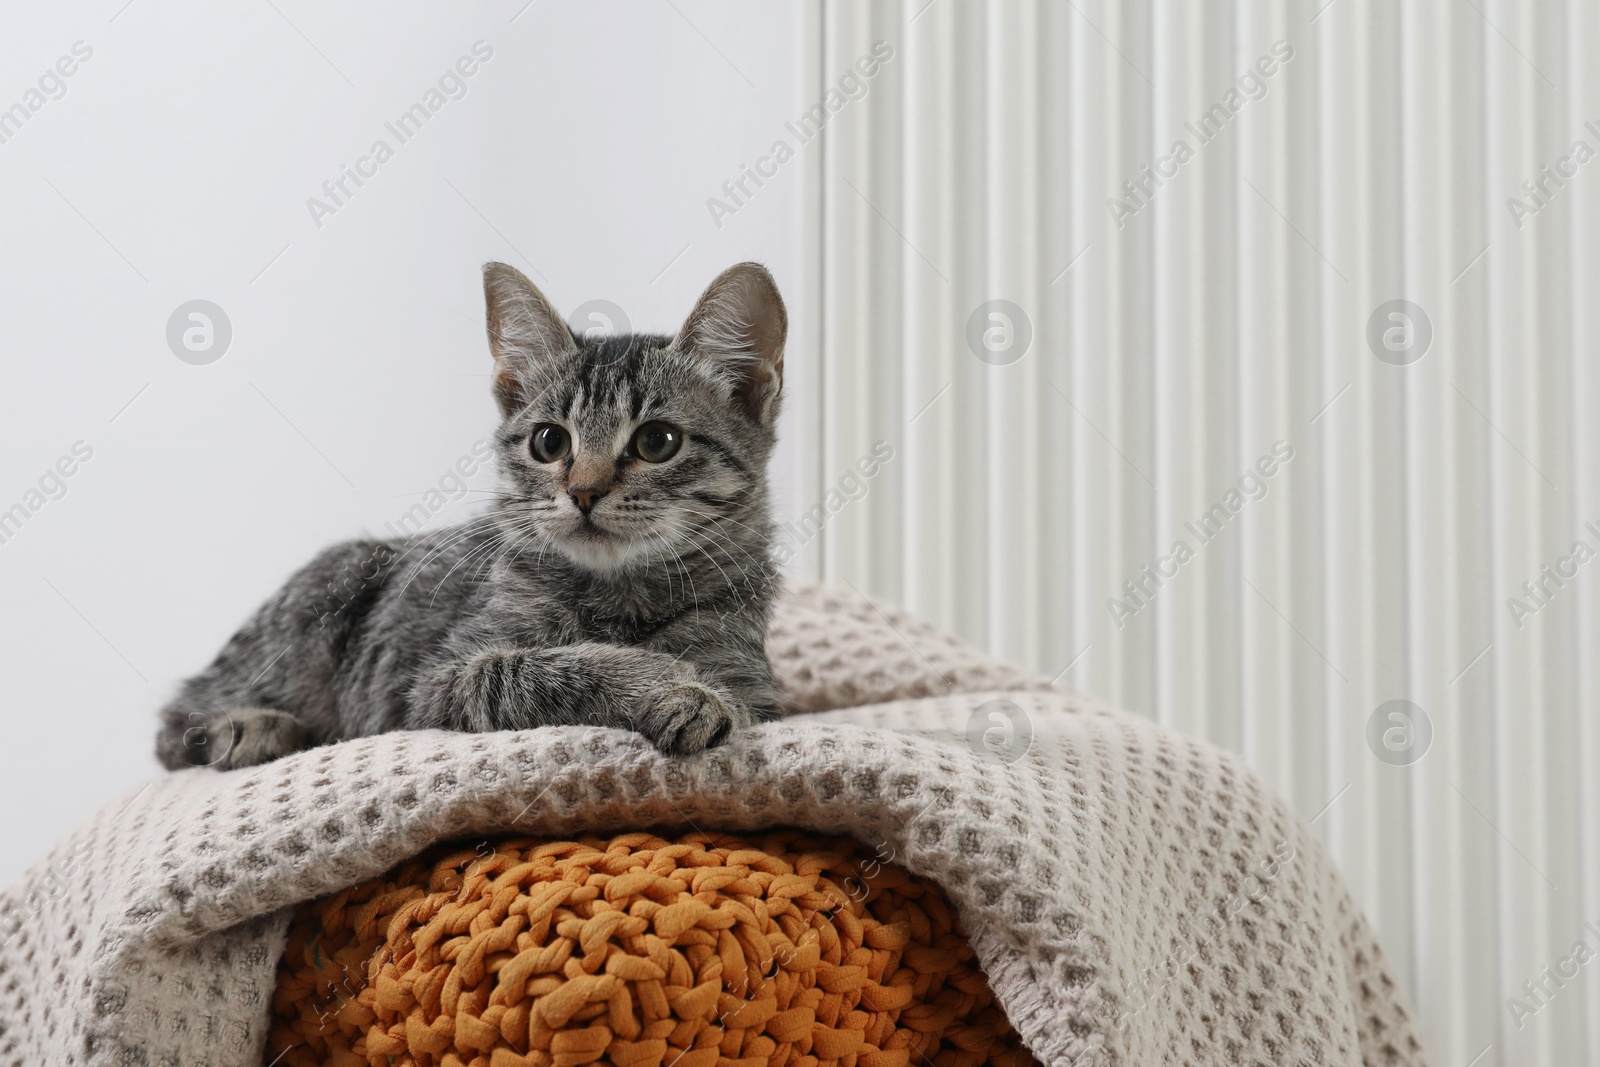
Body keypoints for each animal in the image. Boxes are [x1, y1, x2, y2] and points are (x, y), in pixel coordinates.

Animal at [156, 262, 787, 771]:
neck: (617, 596)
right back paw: (254, 728)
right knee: (177, 722)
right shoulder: (433, 682)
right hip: (322, 598)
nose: (583, 492)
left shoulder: (754, 682)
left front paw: (693, 690)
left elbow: (730, 692)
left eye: (657, 442)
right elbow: (540, 667)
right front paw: (661, 681)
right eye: (550, 442)